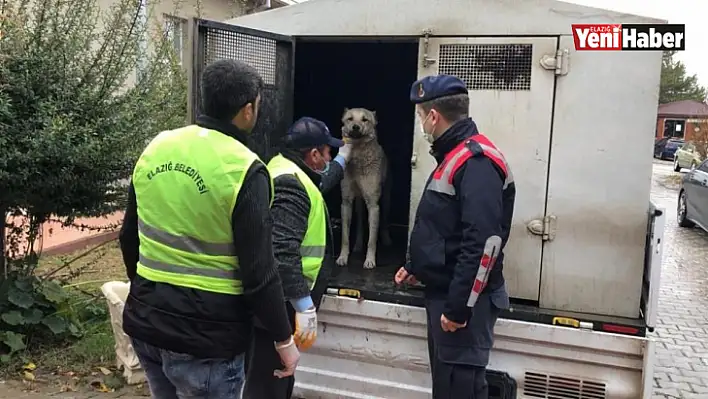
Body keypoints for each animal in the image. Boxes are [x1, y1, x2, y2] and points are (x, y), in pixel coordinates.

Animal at [334, 108, 390, 270]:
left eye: (365, 120)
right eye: (350, 119)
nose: (355, 127)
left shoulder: (373, 204)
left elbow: (372, 240)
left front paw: (370, 260)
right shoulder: (346, 202)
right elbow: (345, 237)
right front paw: (342, 257)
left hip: (386, 199)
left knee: (384, 221)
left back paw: (386, 239)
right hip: (358, 202)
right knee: (359, 224)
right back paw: (358, 245)